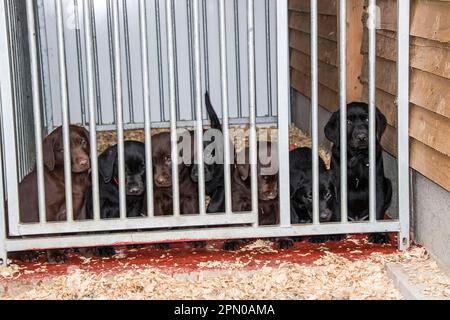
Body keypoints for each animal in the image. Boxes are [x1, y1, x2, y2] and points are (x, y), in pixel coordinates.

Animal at [17, 126, 91, 264]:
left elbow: (82, 229)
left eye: (83, 142)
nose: (84, 162)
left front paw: (85, 248)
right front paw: (55, 254)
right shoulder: (49, 210)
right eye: (62, 150)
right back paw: (27, 254)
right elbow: (53, 233)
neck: (72, 178)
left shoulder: (81, 206)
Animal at [324, 101, 394, 244]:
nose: (362, 137)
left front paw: (378, 233)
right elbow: (338, 208)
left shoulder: (378, 185)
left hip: (388, 184)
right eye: (347, 122)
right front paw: (337, 231)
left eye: (367, 119)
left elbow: (377, 209)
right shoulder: (337, 186)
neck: (358, 158)